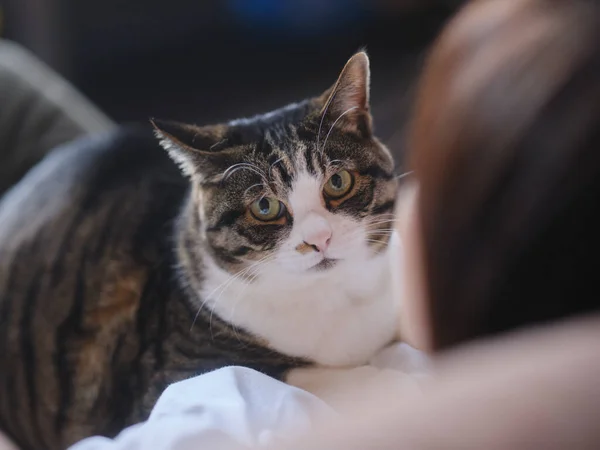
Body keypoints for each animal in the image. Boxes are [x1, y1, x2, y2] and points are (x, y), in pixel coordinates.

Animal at [0, 52, 398, 450]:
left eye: (338, 182)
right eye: (265, 207)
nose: (319, 238)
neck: (333, 298)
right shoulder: (171, 381)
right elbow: (309, 381)